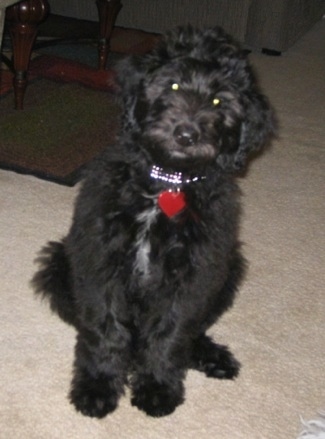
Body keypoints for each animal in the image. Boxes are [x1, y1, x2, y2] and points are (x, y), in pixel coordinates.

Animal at [31, 26, 274, 420]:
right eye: (172, 85)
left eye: (219, 102)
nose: (186, 134)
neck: (166, 184)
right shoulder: (101, 259)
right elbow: (106, 329)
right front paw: (97, 387)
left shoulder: (193, 274)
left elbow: (170, 333)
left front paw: (158, 388)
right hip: (57, 263)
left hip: (229, 269)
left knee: (192, 333)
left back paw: (211, 357)